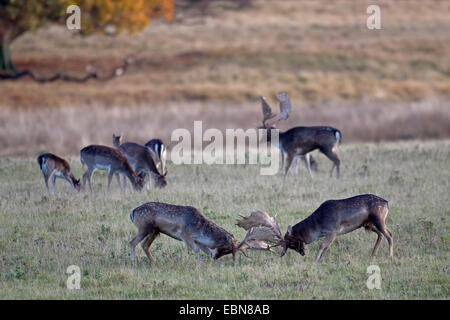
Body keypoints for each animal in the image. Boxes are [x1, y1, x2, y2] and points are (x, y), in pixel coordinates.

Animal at [236, 194, 394, 262]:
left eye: (291, 242)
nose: (302, 253)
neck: (318, 226)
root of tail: (386, 203)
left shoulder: (333, 230)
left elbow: (323, 245)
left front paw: (316, 260)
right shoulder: (330, 233)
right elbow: (326, 246)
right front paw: (320, 260)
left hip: (378, 219)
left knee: (389, 235)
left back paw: (390, 256)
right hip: (368, 224)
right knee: (381, 235)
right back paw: (373, 255)